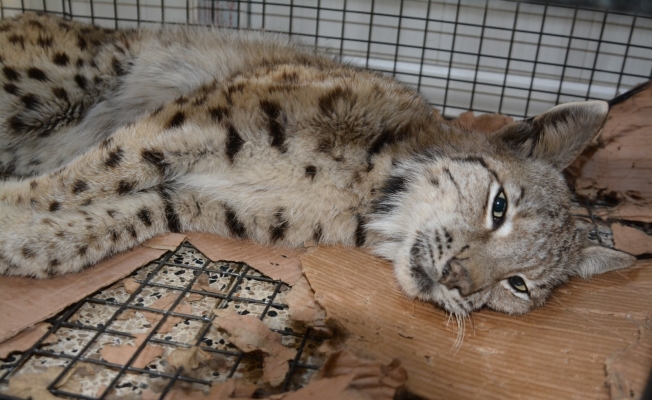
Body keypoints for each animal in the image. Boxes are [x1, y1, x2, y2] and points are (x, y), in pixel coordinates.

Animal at [0, 13, 637, 319]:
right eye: (498, 206)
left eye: (518, 286)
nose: (459, 283)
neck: (368, 193)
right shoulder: (198, 121)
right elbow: (91, 172)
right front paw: (12, 209)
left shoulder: (214, 202)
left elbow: (122, 214)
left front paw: (30, 243)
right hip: (56, 82)